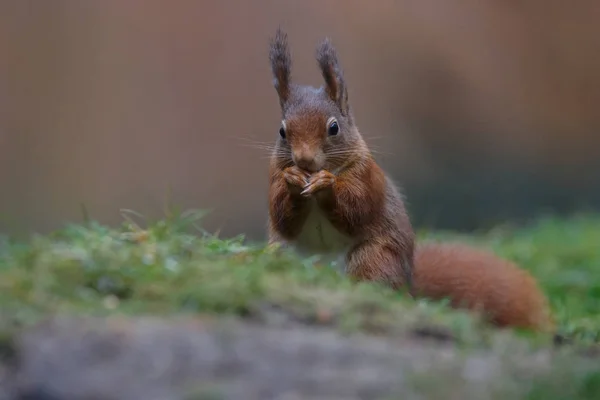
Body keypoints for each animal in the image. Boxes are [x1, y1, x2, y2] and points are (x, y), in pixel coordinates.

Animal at [264, 28, 556, 332]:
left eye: (333, 127)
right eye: (282, 131)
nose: (304, 160)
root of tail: (409, 284)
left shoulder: (368, 177)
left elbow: (356, 208)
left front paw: (326, 184)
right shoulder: (274, 176)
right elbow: (281, 214)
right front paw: (293, 180)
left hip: (374, 258)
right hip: (281, 253)